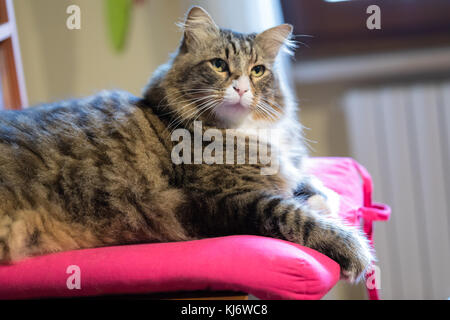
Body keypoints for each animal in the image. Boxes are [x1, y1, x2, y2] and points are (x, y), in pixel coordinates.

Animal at [0, 6, 372, 282]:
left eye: (258, 71)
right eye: (219, 65)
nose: (241, 88)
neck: (237, 131)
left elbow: (308, 185)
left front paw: (323, 198)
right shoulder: (226, 198)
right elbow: (294, 214)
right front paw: (353, 249)